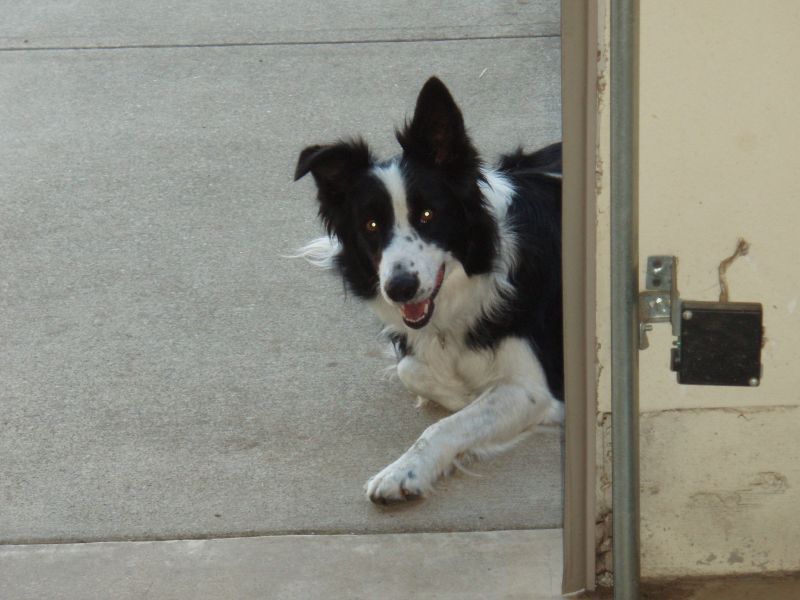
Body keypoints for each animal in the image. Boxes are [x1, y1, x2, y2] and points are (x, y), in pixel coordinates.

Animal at [294, 77, 564, 504]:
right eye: (371, 224)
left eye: (427, 214)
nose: (400, 288)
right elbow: (411, 369)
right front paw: (457, 390)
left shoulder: (531, 387)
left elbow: (447, 424)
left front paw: (403, 472)